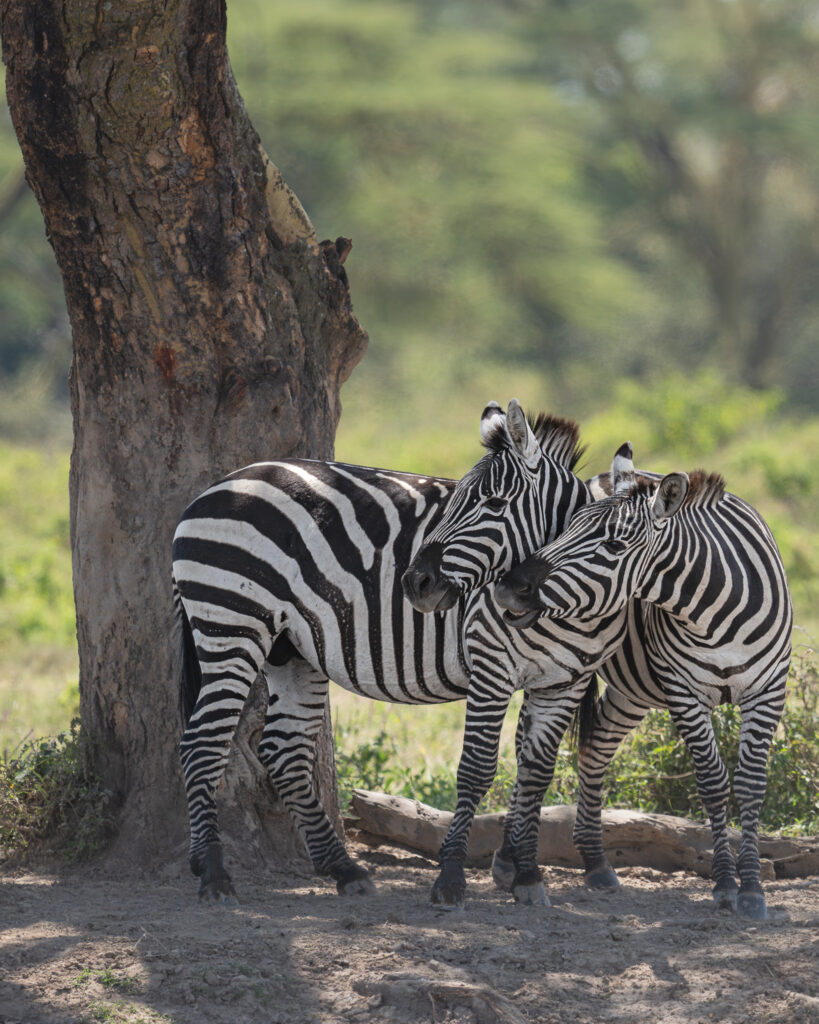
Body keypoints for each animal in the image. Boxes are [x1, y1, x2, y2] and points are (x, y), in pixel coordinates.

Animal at [173, 399, 591, 905]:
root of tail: (212, 489)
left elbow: (536, 771)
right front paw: (454, 878)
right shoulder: (491, 666)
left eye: (494, 503)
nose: (416, 582)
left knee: (283, 751)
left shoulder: (565, 682)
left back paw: (343, 869)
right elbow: (478, 768)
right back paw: (215, 875)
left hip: (290, 649)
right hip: (231, 624)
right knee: (202, 744)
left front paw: (525, 874)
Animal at [494, 460, 793, 919]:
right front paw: (726, 884)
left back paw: (595, 861)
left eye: (615, 544)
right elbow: (712, 782)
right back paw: (511, 860)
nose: (510, 588)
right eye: (568, 527)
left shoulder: (769, 690)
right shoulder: (684, 693)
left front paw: (753, 889)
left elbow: (750, 785)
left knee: (595, 748)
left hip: (632, 690)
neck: (712, 609)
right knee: (528, 744)